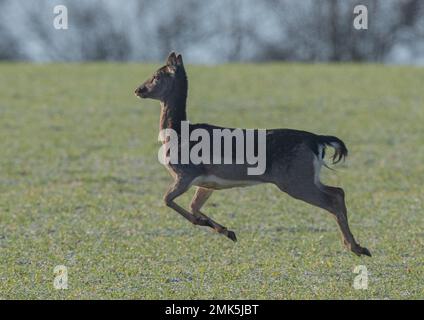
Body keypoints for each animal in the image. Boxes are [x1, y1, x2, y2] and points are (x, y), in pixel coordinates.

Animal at [136, 52, 372, 258]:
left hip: (295, 180)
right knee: (338, 191)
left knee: (332, 199)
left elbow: (167, 200)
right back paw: (357, 246)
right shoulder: (206, 182)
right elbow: (194, 206)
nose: (138, 89)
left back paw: (356, 248)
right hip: (307, 177)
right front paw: (227, 231)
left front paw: (211, 226)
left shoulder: (185, 173)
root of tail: (316, 140)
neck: (176, 134)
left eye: (157, 76)